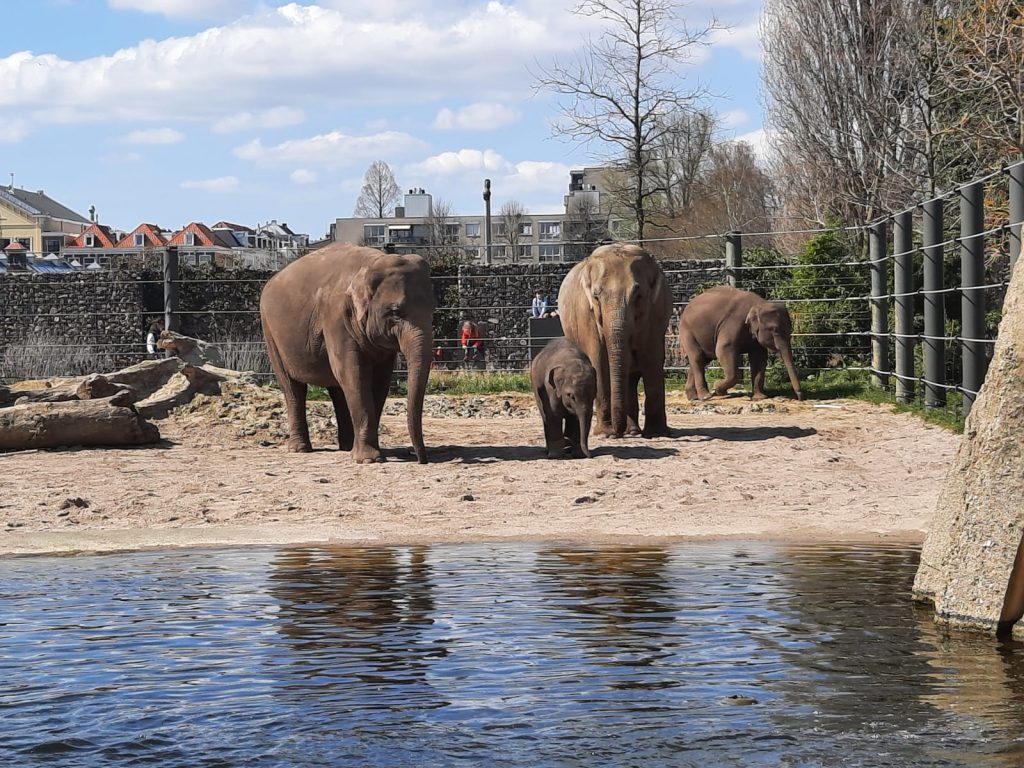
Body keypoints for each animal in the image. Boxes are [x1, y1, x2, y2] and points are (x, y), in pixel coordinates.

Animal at [262, 244, 434, 462]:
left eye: (433, 311)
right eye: (395, 312)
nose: (422, 459)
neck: (373, 262)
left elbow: (380, 381)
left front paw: (370, 454)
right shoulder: (336, 317)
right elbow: (353, 373)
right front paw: (370, 459)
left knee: (338, 390)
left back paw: (346, 447)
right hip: (271, 335)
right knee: (293, 389)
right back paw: (300, 449)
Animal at [561, 243, 671, 442]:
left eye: (638, 295)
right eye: (596, 296)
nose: (617, 432)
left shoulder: (656, 311)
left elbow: (652, 358)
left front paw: (657, 433)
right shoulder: (586, 315)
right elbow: (599, 363)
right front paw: (606, 433)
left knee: (631, 377)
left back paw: (633, 431)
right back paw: (630, 431)